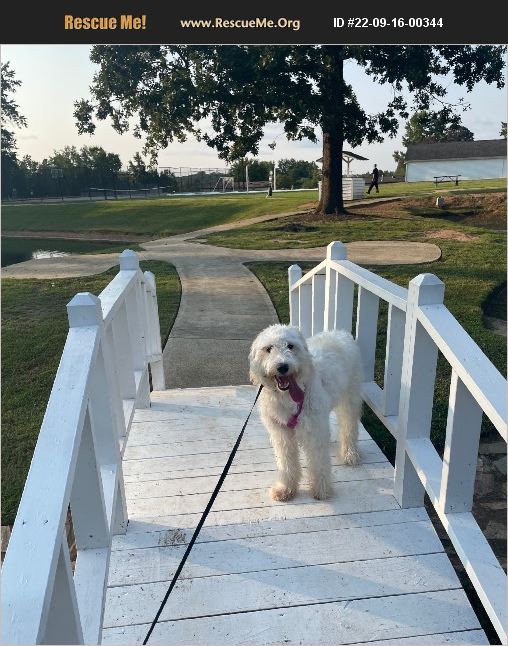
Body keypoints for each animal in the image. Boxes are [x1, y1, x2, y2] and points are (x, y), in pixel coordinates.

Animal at [249, 326, 362, 504]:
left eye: (290, 346)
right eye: (268, 349)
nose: (283, 367)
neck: (287, 398)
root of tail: (340, 332)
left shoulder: (314, 434)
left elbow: (319, 463)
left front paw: (321, 490)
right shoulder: (282, 435)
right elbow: (286, 463)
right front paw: (285, 489)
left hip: (350, 397)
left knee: (349, 426)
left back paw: (350, 453)